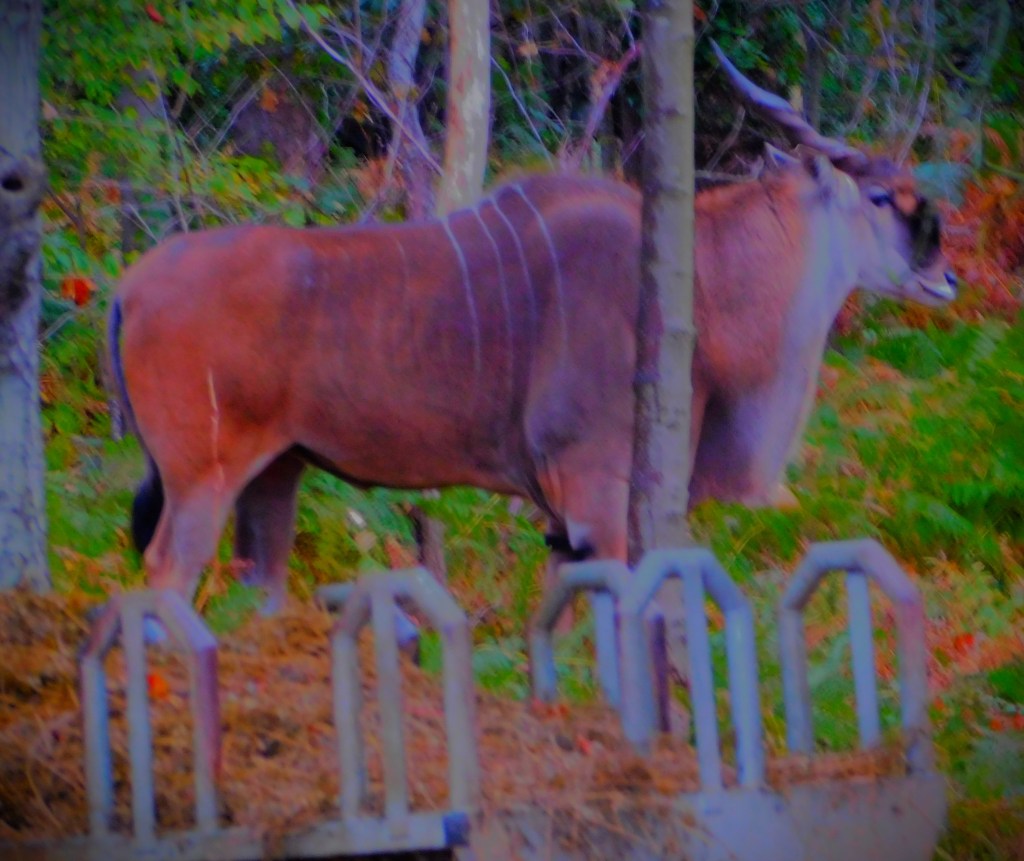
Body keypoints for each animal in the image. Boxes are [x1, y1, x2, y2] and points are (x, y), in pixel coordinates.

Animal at [109, 47, 956, 613]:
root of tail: (131, 286)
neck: (705, 283)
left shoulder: (559, 519)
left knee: (258, 583)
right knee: (166, 570)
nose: (945, 275)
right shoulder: (599, 496)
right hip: (203, 474)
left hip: (274, 472)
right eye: (882, 197)